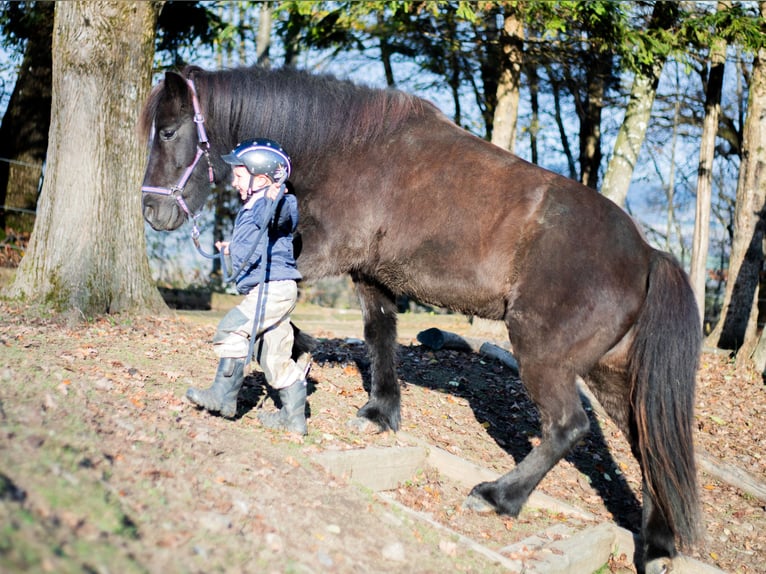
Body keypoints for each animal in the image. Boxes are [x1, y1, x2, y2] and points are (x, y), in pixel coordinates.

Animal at [138, 65, 704, 572]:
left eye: (168, 131)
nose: (152, 214)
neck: (353, 148)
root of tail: (647, 253)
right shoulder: (371, 276)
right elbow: (378, 336)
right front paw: (378, 411)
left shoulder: (320, 253)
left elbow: (273, 303)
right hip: (608, 374)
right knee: (647, 443)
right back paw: (656, 546)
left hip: (544, 357)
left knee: (568, 426)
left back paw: (498, 497)